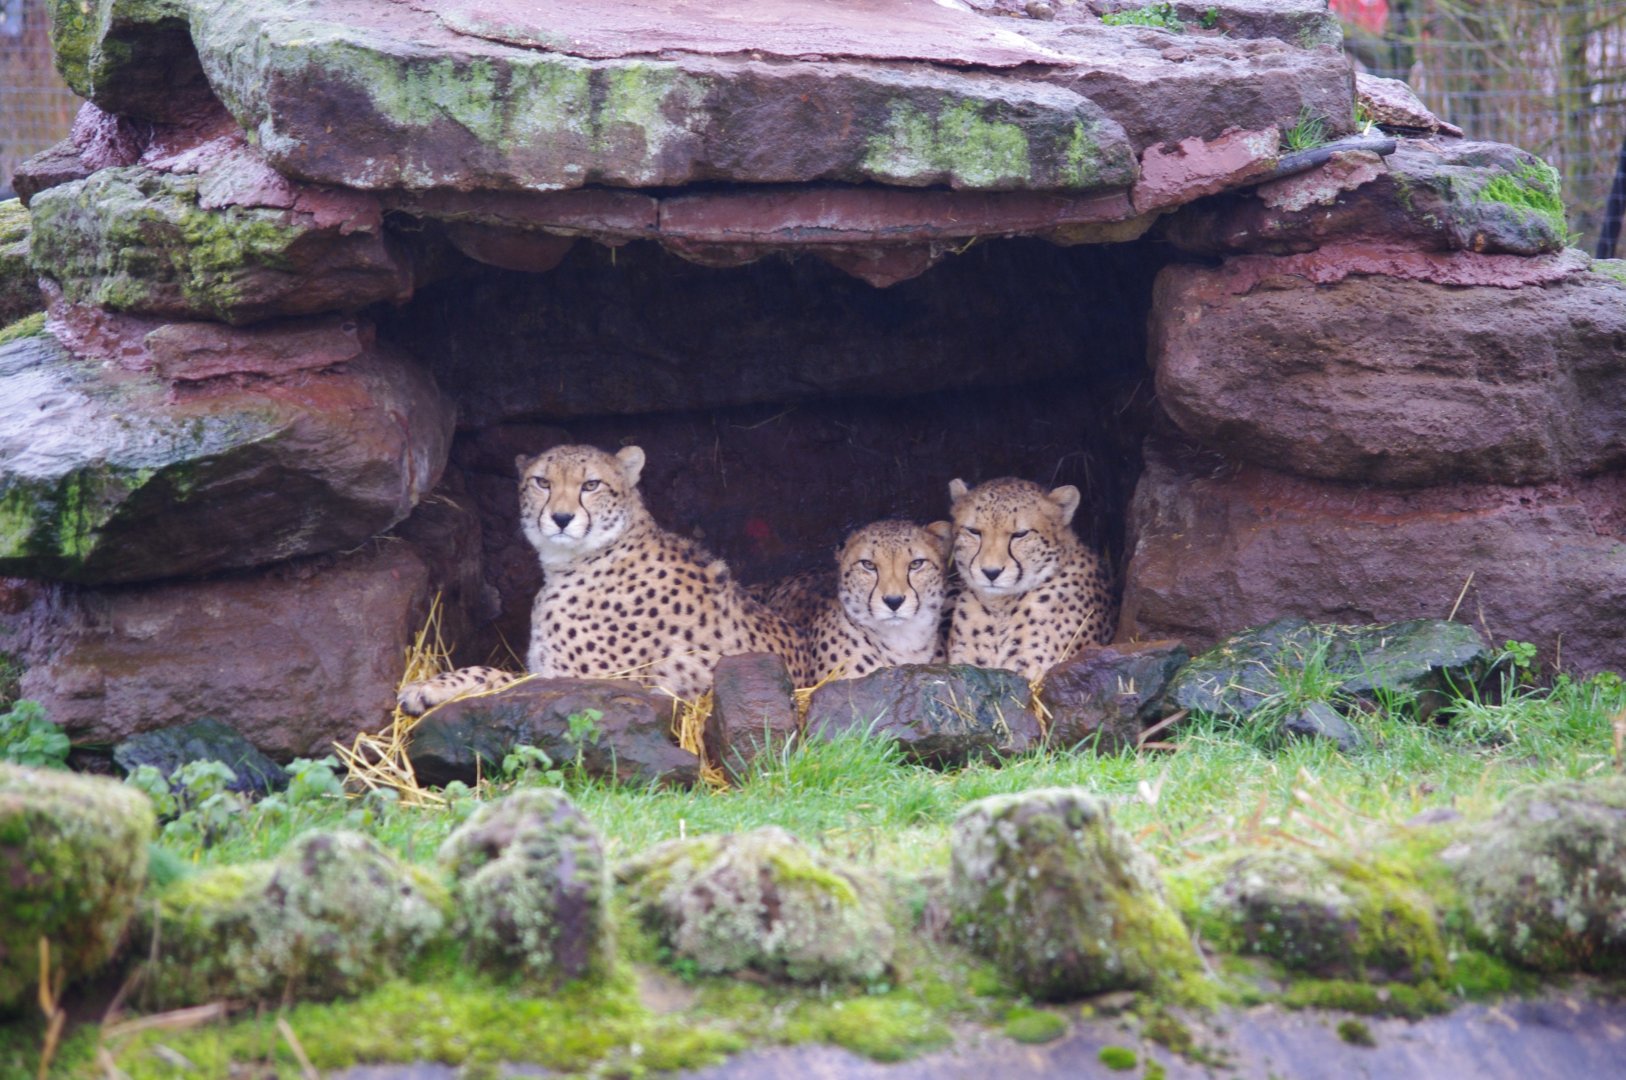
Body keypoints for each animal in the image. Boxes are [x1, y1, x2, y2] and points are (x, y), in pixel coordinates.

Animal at [398, 444, 806, 714]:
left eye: (591, 485)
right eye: (542, 482)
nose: (561, 518)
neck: (584, 558)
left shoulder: (594, 682)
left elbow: (495, 675)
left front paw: (428, 688)